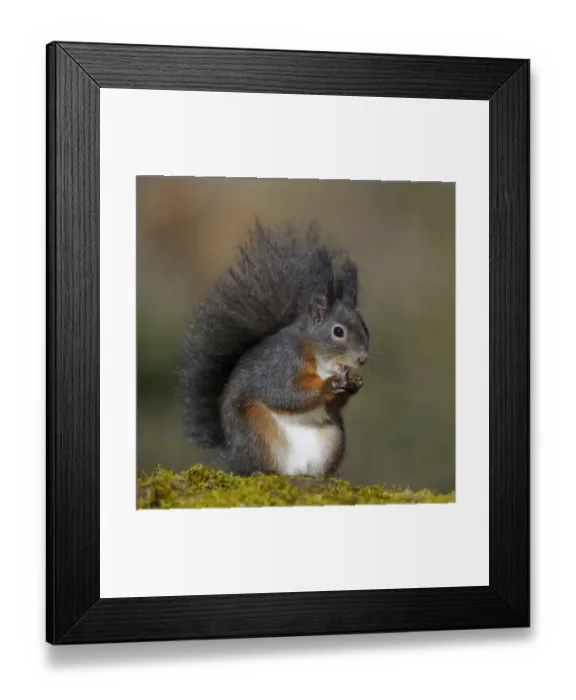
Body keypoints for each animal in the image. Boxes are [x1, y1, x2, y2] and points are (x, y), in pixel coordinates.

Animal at [178, 222, 370, 478]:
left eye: (365, 326)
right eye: (338, 331)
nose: (362, 358)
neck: (320, 360)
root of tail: (232, 456)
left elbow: (331, 405)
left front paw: (354, 383)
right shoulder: (281, 364)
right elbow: (284, 393)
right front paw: (329, 386)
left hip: (333, 438)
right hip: (256, 432)